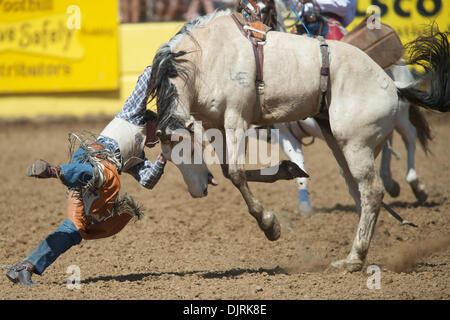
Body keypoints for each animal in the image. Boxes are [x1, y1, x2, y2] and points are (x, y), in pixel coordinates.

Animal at [149, 8, 450, 272]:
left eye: (189, 150)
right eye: (169, 158)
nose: (197, 192)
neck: (205, 59)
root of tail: (392, 86)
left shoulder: (236, 117)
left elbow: (235, 173)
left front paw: (270, 226)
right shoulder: (216, 125)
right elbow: (230, 170)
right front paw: (288, 169)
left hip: (357, 144)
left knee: (374, 188)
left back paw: (355, 258)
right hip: (340, 142)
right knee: (359, 190)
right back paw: (358, 254)